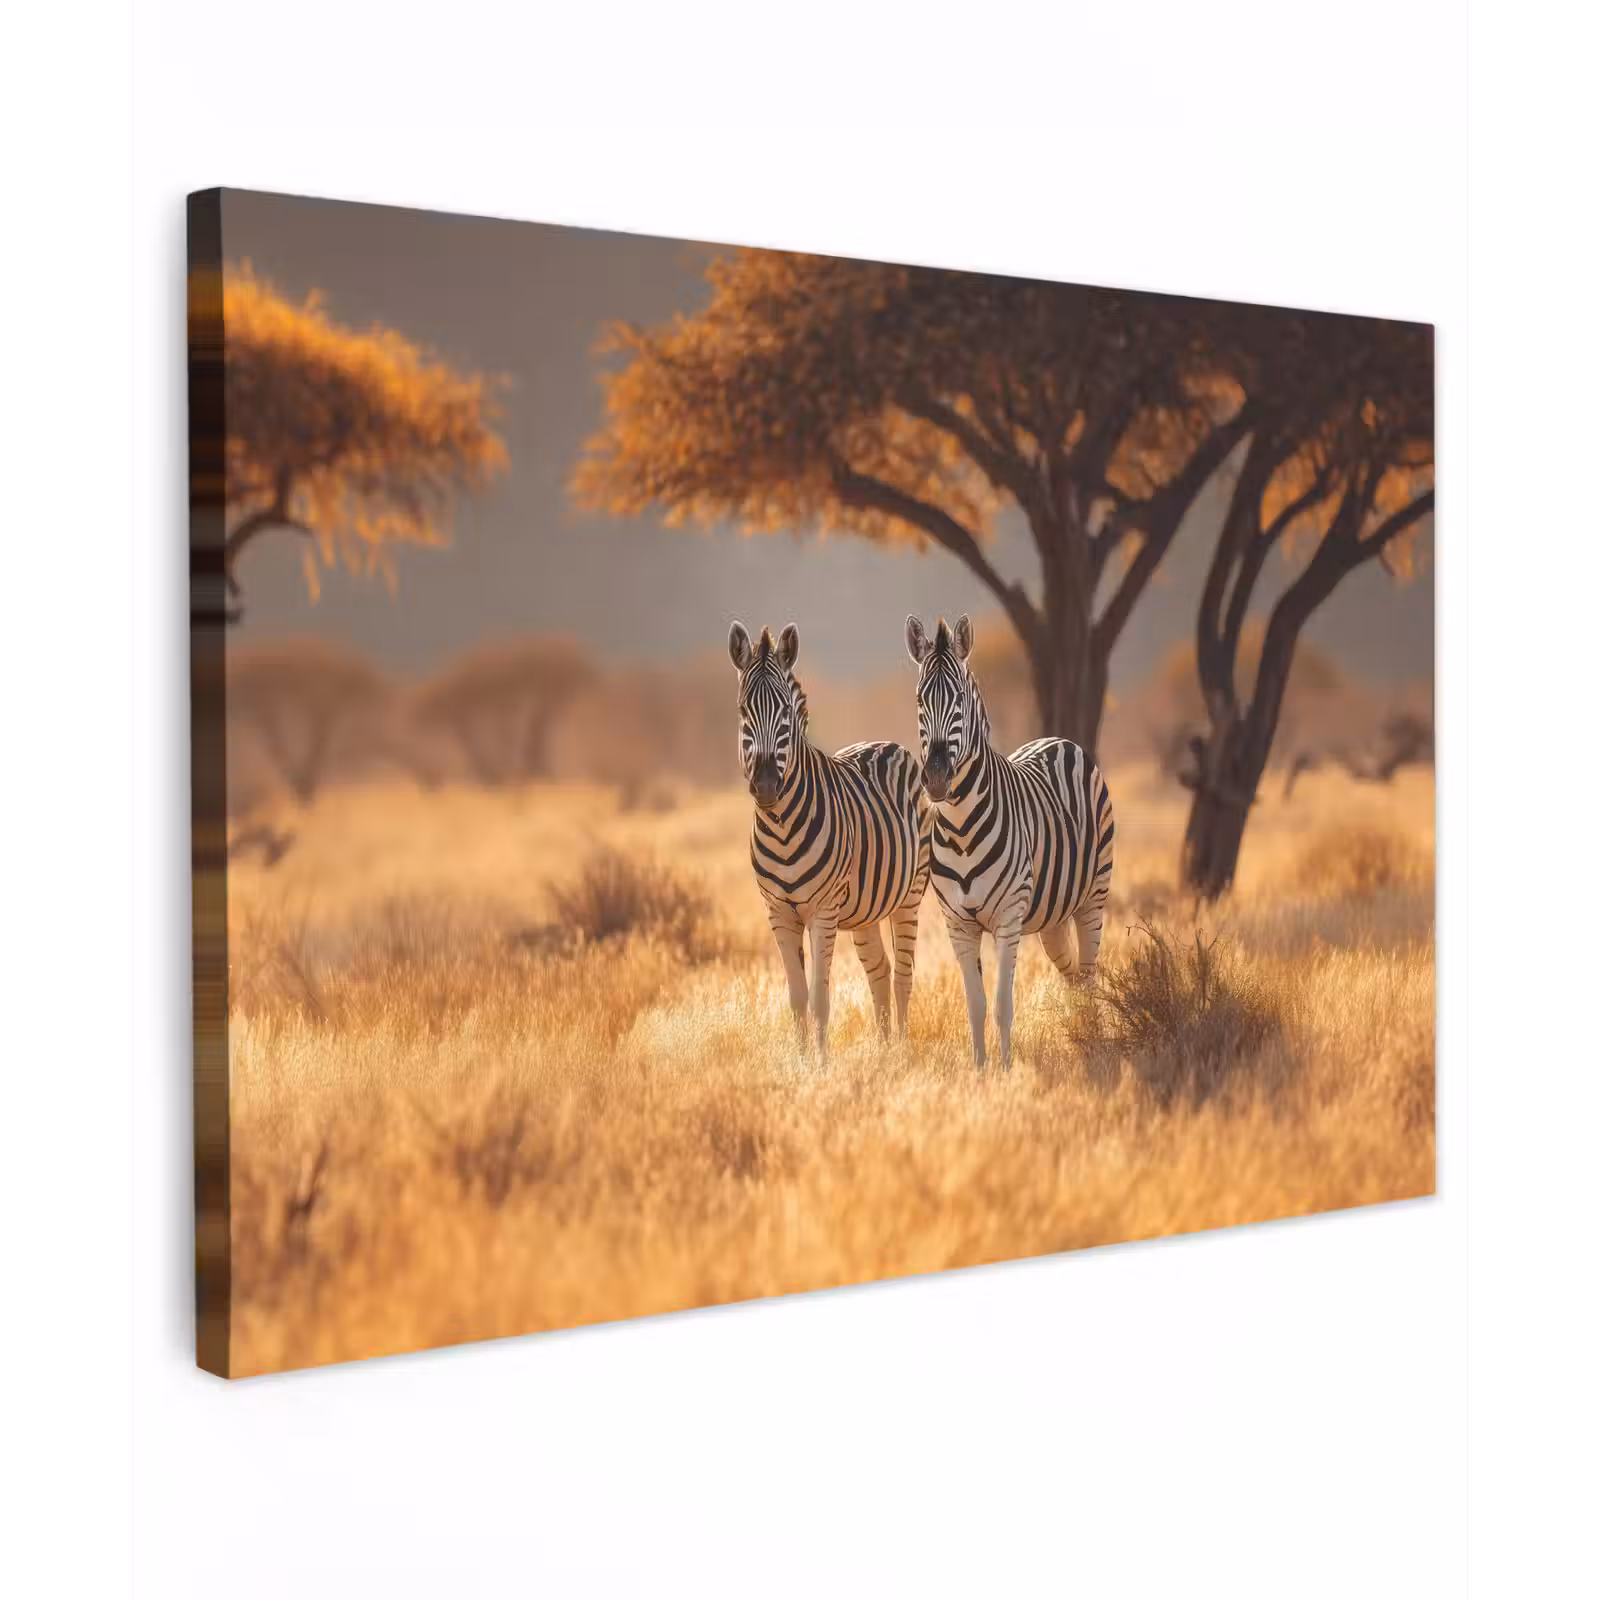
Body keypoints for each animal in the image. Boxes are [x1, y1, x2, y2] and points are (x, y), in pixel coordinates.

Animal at [730, 621, 932, 1058]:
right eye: (743, 711)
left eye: (786, 714)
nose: (766, 785)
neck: (781, 826)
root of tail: (886, 743)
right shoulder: (778, 912)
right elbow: (796, 998)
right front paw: (801, 1061)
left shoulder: (822, 910)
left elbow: (820, 998)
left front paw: (821, 1064)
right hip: (864, 909)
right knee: (880, 970)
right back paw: (883, 1052)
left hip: (909, 894)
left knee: (903, 975)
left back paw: (902, 1051)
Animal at [905, 613, 1115, 1070]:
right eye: (919, 701)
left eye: (960, 701)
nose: (936, 779)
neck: (961, 828)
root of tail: (1059, 740)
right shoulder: (958, 924)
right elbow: (976, 1005)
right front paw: (981, 1070)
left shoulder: (1007, 918)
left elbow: (1002, 1005)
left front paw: (1005, 1070)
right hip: (1053, 915)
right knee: (1073, 975)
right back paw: (1080, 1036)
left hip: (1093, 896)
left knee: (1089, 974)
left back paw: (1095, 1042)